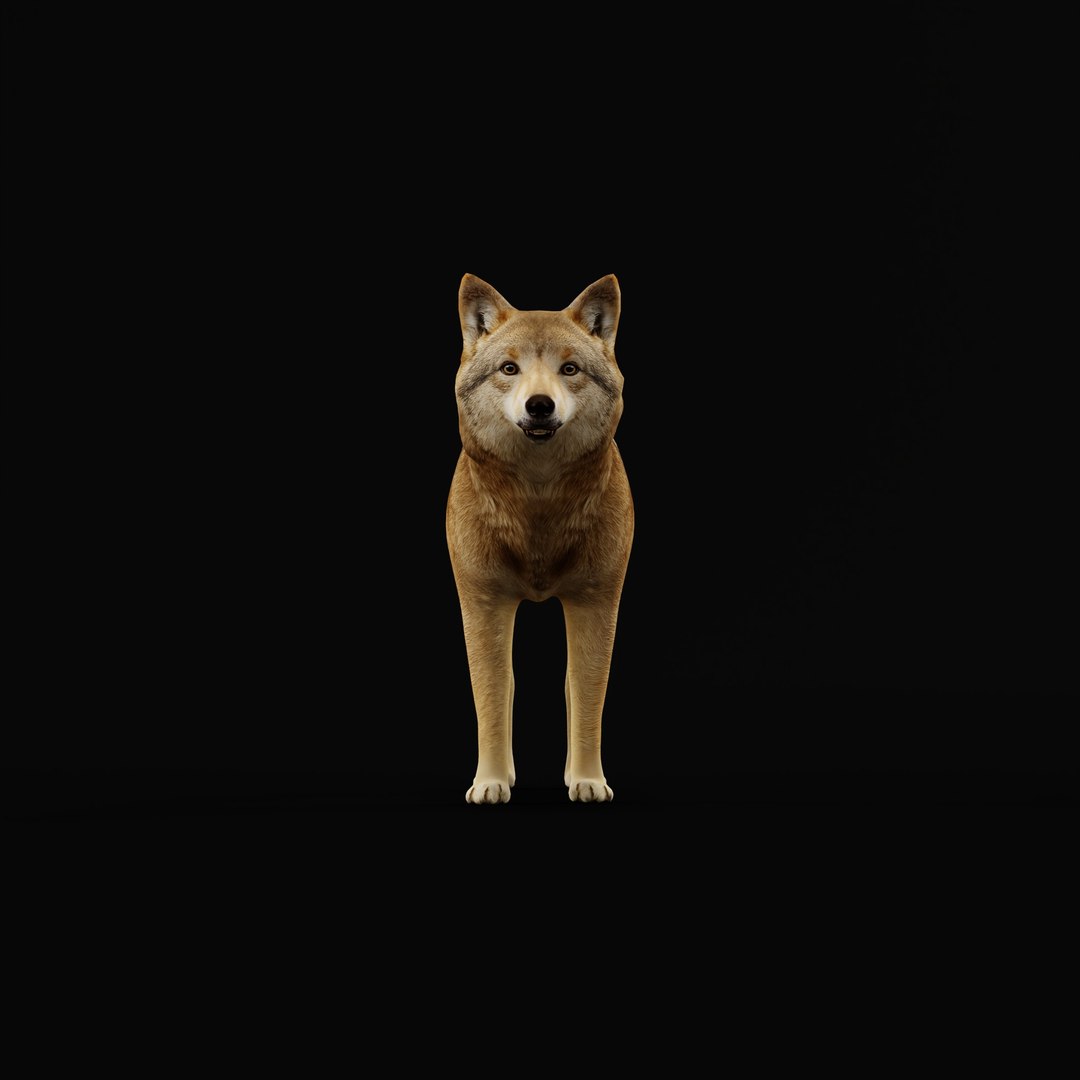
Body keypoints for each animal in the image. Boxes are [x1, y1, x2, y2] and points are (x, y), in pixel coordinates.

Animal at [447, 273, 633, 804]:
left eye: (569, 369)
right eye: (509, 368)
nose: (539, 405)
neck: (538, 504)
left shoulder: (597, 602)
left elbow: (586, 697)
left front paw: (588, 781)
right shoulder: (482, 604)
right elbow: (493, 698)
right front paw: (490, 782)